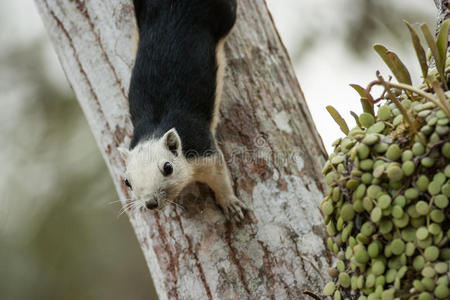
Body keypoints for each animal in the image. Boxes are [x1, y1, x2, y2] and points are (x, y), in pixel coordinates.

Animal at [117, 0, 246, 220]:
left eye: (168, 168)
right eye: (127, 182)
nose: (150, 203)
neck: (156, 128)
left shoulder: (204, 150)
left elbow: (220, 176)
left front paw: (231, 204)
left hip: (225, 14)